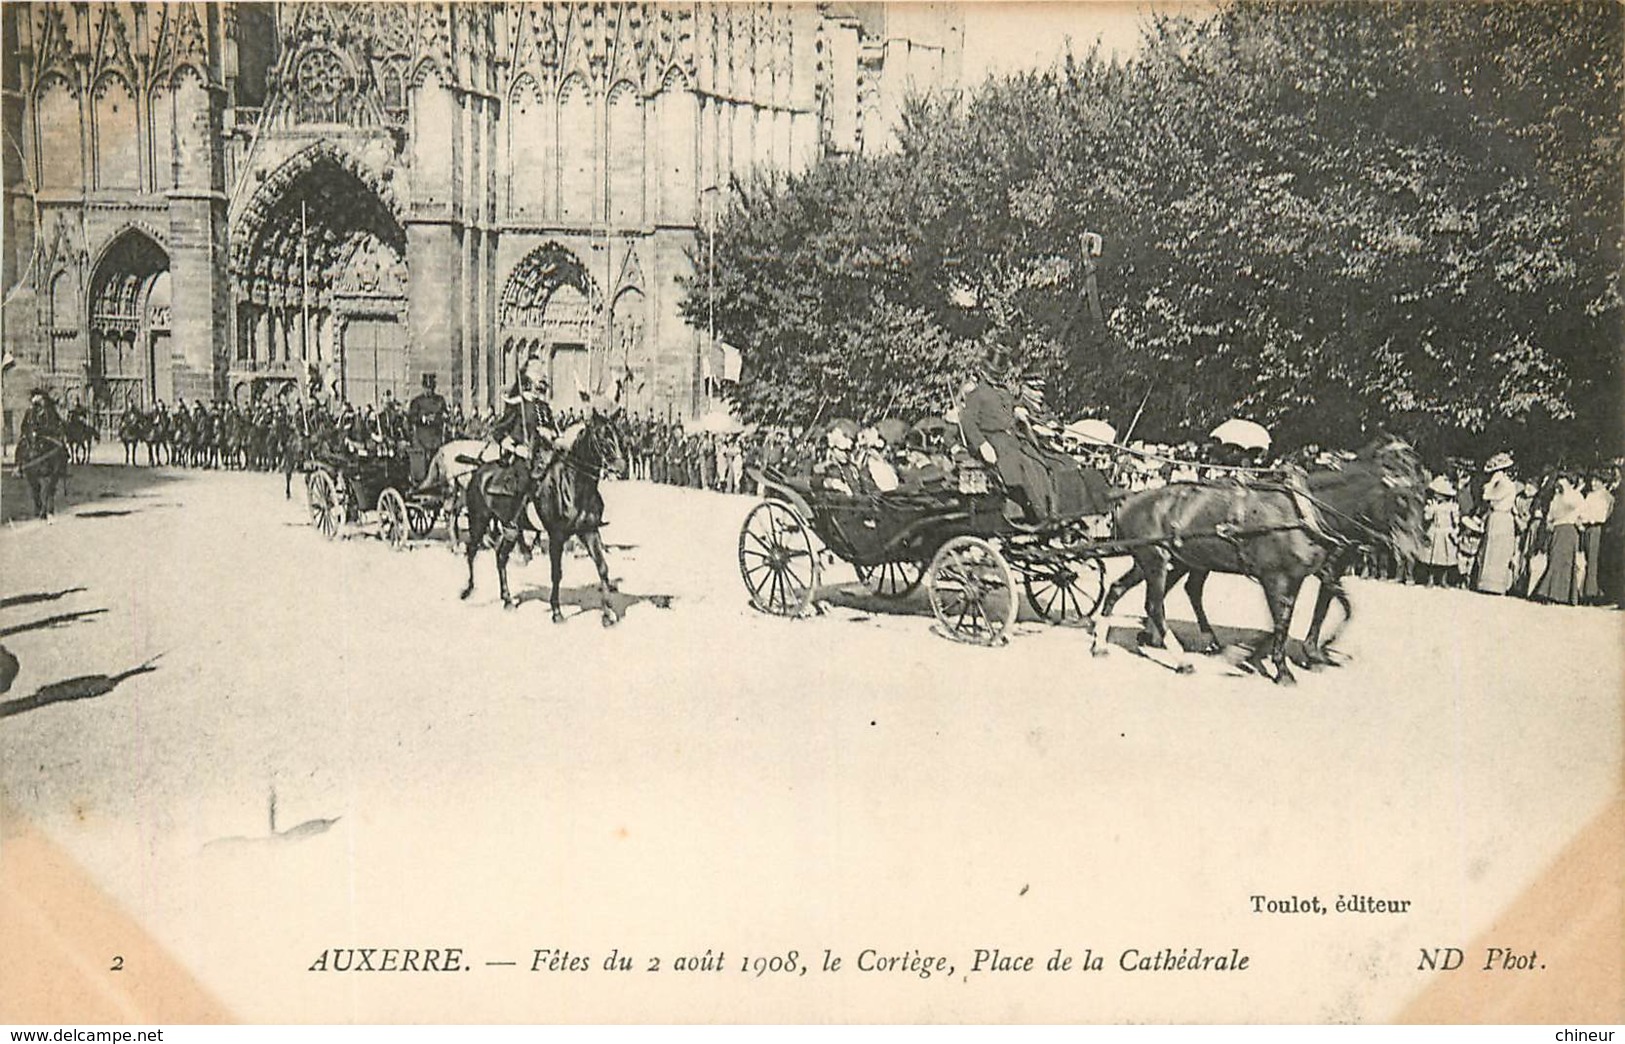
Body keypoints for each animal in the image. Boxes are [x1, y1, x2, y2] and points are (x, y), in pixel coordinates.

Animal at [464, 404, 633, 617]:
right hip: (479, 520)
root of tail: (479, 470)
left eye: (619, 435)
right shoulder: (557, 535)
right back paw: (469, 590)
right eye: (602, 437)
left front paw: (608, 613)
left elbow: (602, 567)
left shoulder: (589, 531)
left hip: (511, 529)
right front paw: (556, 611)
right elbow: (556, 573)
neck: (574, 483)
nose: (621, 468)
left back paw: (507, 599)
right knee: (471, 550)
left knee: (501, 557)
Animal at [1092, 435, 1423, 682]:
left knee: (1124, 590)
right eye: (1402, 498)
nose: (1416, 548)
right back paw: (1179, 656)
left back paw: (1105, 643)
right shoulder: (1275, 577)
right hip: (1155, 559)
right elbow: (1284, 619)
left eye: (1424, 495)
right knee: (1155, 605)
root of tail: (1130, 496)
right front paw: (1282, 667)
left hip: (1170, 559)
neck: (1303, 512)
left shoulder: (1307, 574)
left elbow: (1313, 612)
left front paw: (1300, 652)